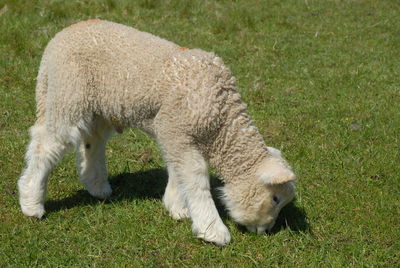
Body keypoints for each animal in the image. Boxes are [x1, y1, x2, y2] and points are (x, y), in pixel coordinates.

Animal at [17, 19, 296, 246]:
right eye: (275, 199)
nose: (265, 230)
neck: (221, 122)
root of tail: (58, 38)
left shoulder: (175, 132)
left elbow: (179, 170)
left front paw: (177, 206)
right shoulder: (177, 127)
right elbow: (196, 175)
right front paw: (212, 230)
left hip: (97, 105)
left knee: (92, 140)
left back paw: (96, 186)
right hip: (68, 93)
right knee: (47, 144)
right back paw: (31, 202)